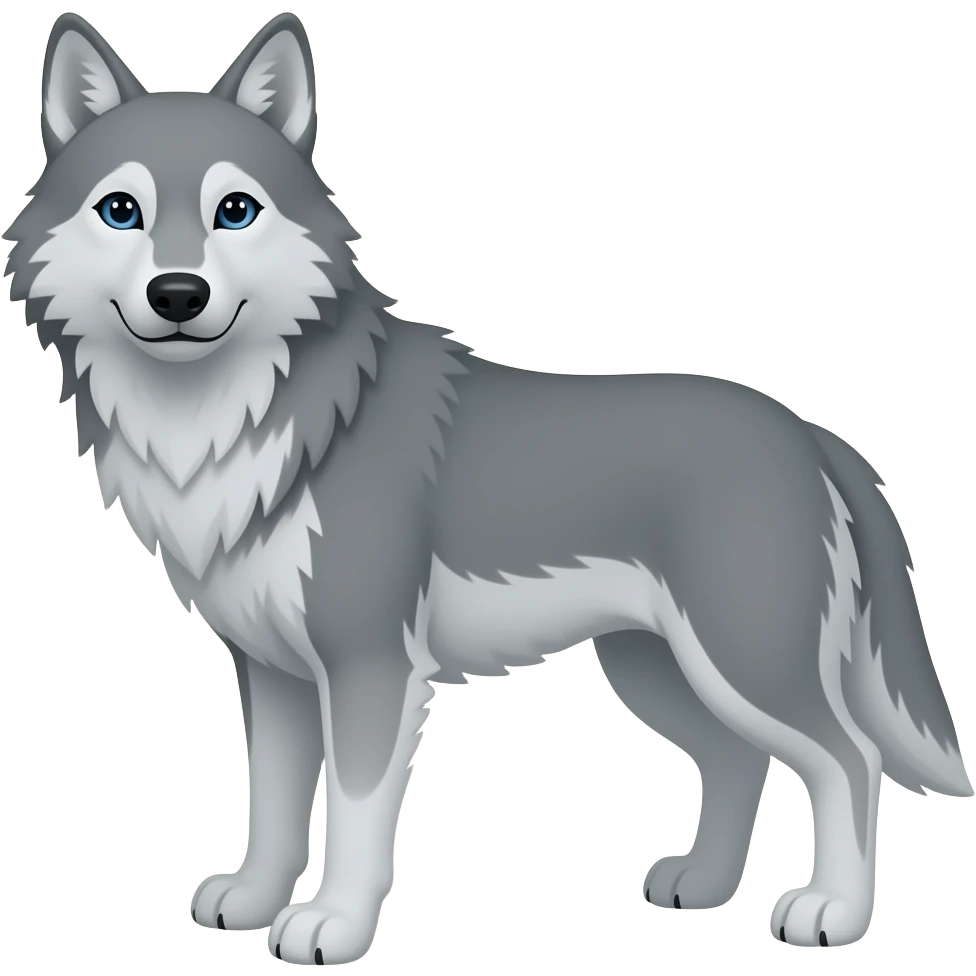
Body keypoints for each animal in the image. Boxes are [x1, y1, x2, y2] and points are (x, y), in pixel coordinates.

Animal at [4, 9, 971, 964]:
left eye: (234, 211)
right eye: (121, 212)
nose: (179, 293)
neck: (239, 420)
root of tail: (809, 433)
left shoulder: (369, 665)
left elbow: (353, 812)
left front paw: (333, 926)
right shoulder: (270, 671)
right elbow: (272, 803)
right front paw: (252, 901)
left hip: (740, 660)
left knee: (848, 760)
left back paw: (831, 914)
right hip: (658, 670)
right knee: (740, 761)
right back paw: (701, 885)